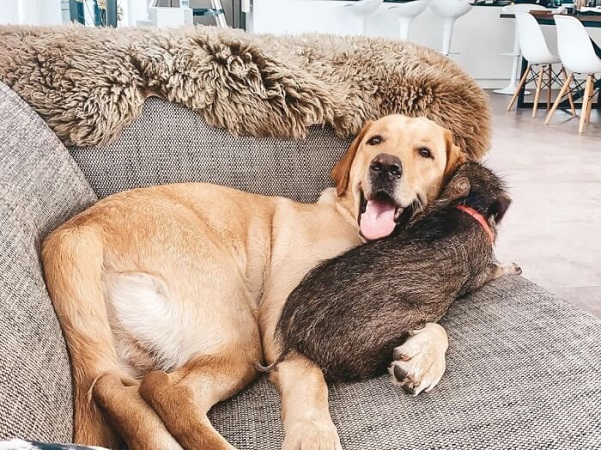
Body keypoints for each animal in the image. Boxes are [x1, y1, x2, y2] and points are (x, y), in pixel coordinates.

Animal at [41, 114, 465, 450]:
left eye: (425, 152)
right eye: (376, 140)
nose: (385, 166)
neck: (353, 225)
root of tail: (80, 230)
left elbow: (433, 324)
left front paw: (424, 357)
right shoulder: (280, 324)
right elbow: (311, 379)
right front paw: (313, 434)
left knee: (122, 392)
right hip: (238, 333)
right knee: (166, 391)